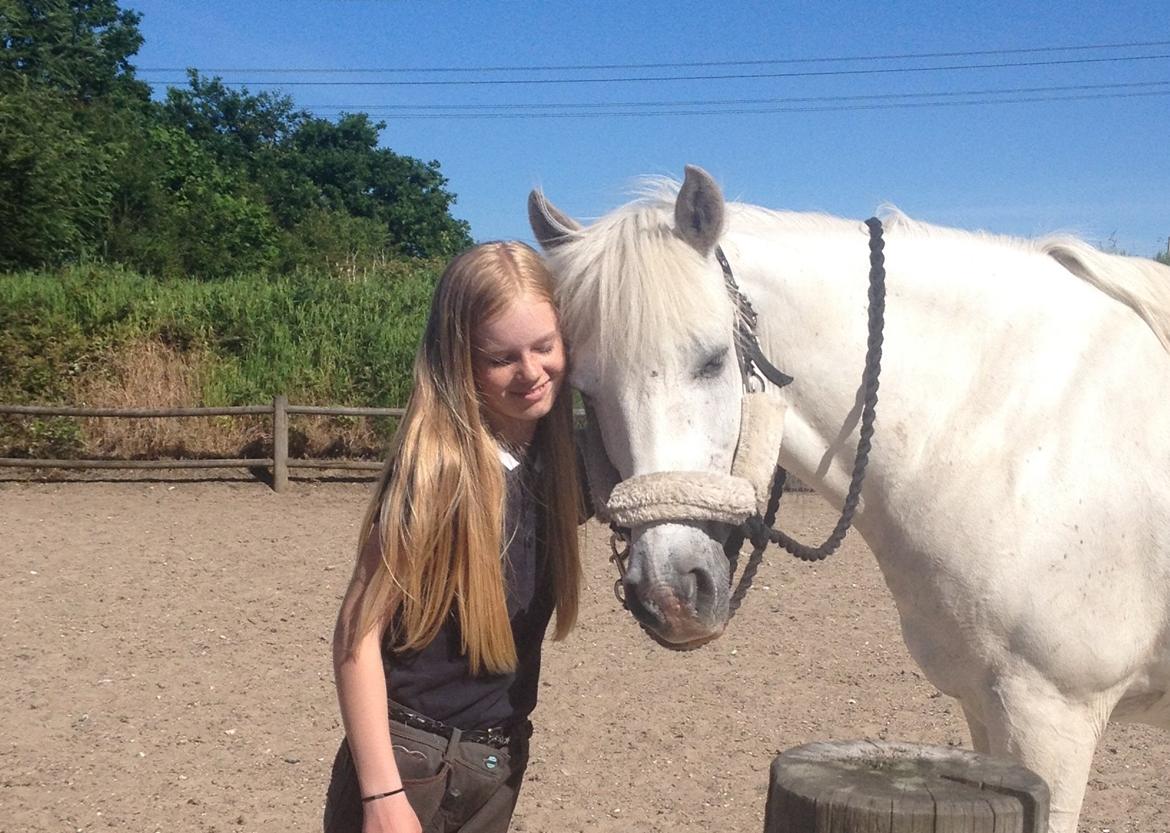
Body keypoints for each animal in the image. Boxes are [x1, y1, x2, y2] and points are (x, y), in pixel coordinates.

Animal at [528, 166, 1170, 833]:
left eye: (711, 361)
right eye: (586, 390)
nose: (669, 594)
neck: (1017, 425)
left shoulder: (1051, 717)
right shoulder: (987, 708)